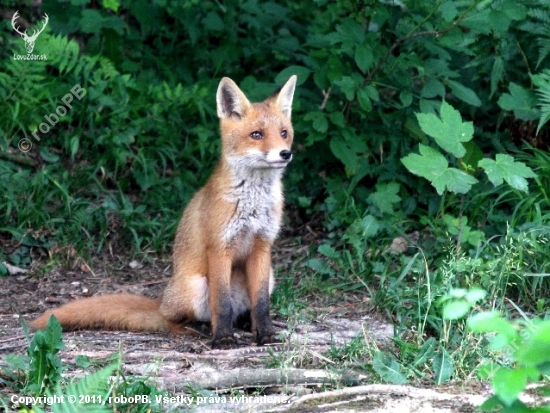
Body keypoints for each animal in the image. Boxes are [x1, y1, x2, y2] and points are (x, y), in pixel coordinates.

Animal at [30, 75, 298, 348]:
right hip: (196, 286)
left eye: (284, 133)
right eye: (257, 134)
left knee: (241, 310)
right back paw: (201, 328)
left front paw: (265, 333)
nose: (285, 153)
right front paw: (222, 338)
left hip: (270, 275)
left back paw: (242, 323)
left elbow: (261, 304)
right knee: (174, 322)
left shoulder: (262, 246)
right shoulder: (219, 248)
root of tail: (160, 302)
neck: (252, 201)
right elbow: (221, 304)